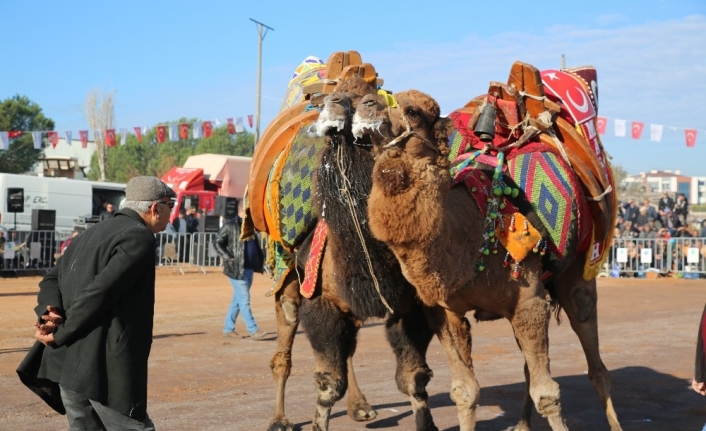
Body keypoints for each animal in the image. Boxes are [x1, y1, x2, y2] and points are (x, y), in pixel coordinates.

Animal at [354, 88, 620, 431]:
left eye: (413, 111)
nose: (365, 103)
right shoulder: (445, 312)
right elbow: (465, 391)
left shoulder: (530, 303)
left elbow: (547, 394)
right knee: (529, 368)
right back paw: (522, 425)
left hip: (578, 273)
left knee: (595, 361)